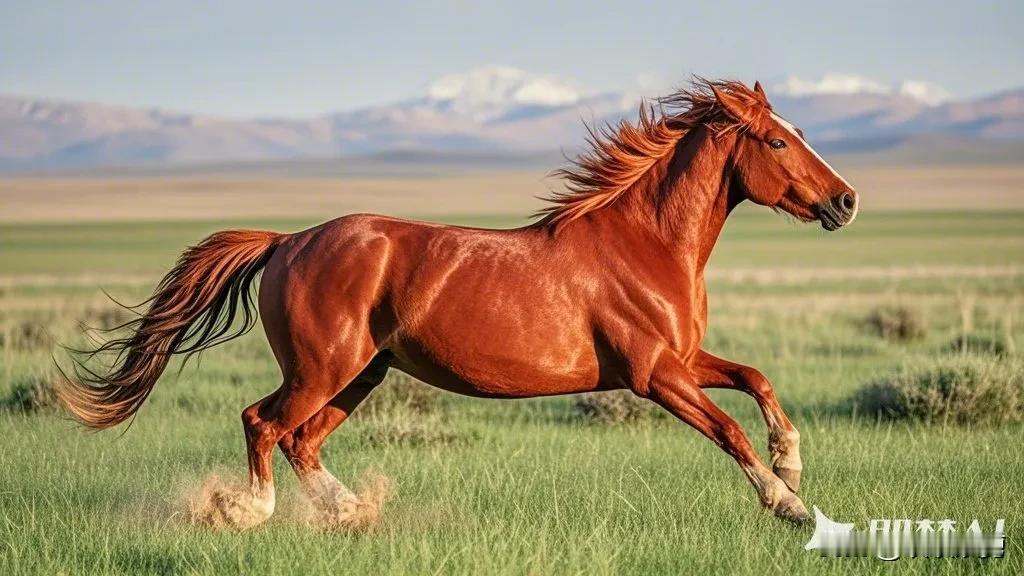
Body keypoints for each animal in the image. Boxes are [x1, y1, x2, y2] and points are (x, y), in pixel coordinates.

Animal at [59, 78, 860, 528]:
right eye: (777, 142)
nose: (847, 201)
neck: (645, 245)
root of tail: (288, 241)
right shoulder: (653, 374)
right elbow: (728, 428)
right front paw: (789, 505)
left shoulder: (683, 358)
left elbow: (757, 379)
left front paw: (791, 463)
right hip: (324, 368)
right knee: (264, 423)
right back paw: (251, 512)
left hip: (363, 374)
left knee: (301, 440)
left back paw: (351, 513)